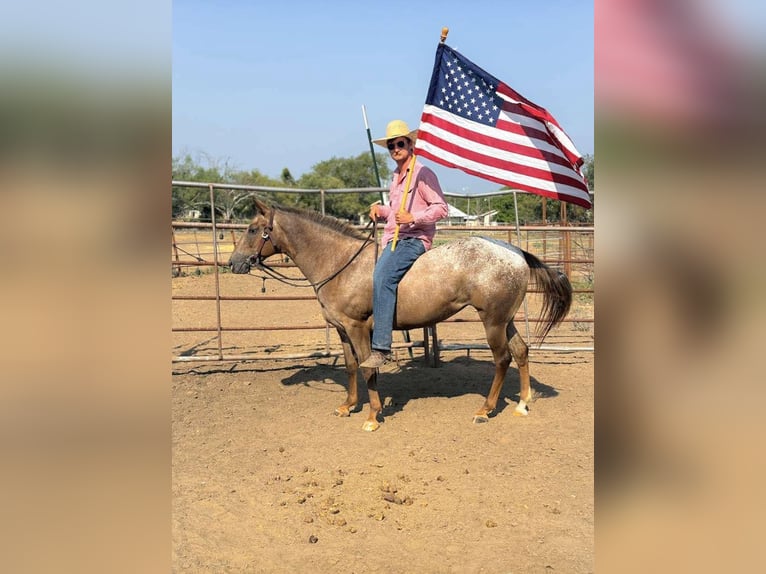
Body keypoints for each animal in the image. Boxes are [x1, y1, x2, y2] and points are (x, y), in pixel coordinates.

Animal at [231, 199, 572, 432]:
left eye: (252, 229)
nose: (233, 263)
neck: (340, 263)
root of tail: (514, 252)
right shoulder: (342, 330)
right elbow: (351, 367)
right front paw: (348, 406)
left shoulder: (357, 328)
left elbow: (368, 369)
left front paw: (372, 415)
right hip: (506, 319)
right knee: (521, 351)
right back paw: (523, 403)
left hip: (493, 321)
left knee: (502, 359)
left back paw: (485, 409)